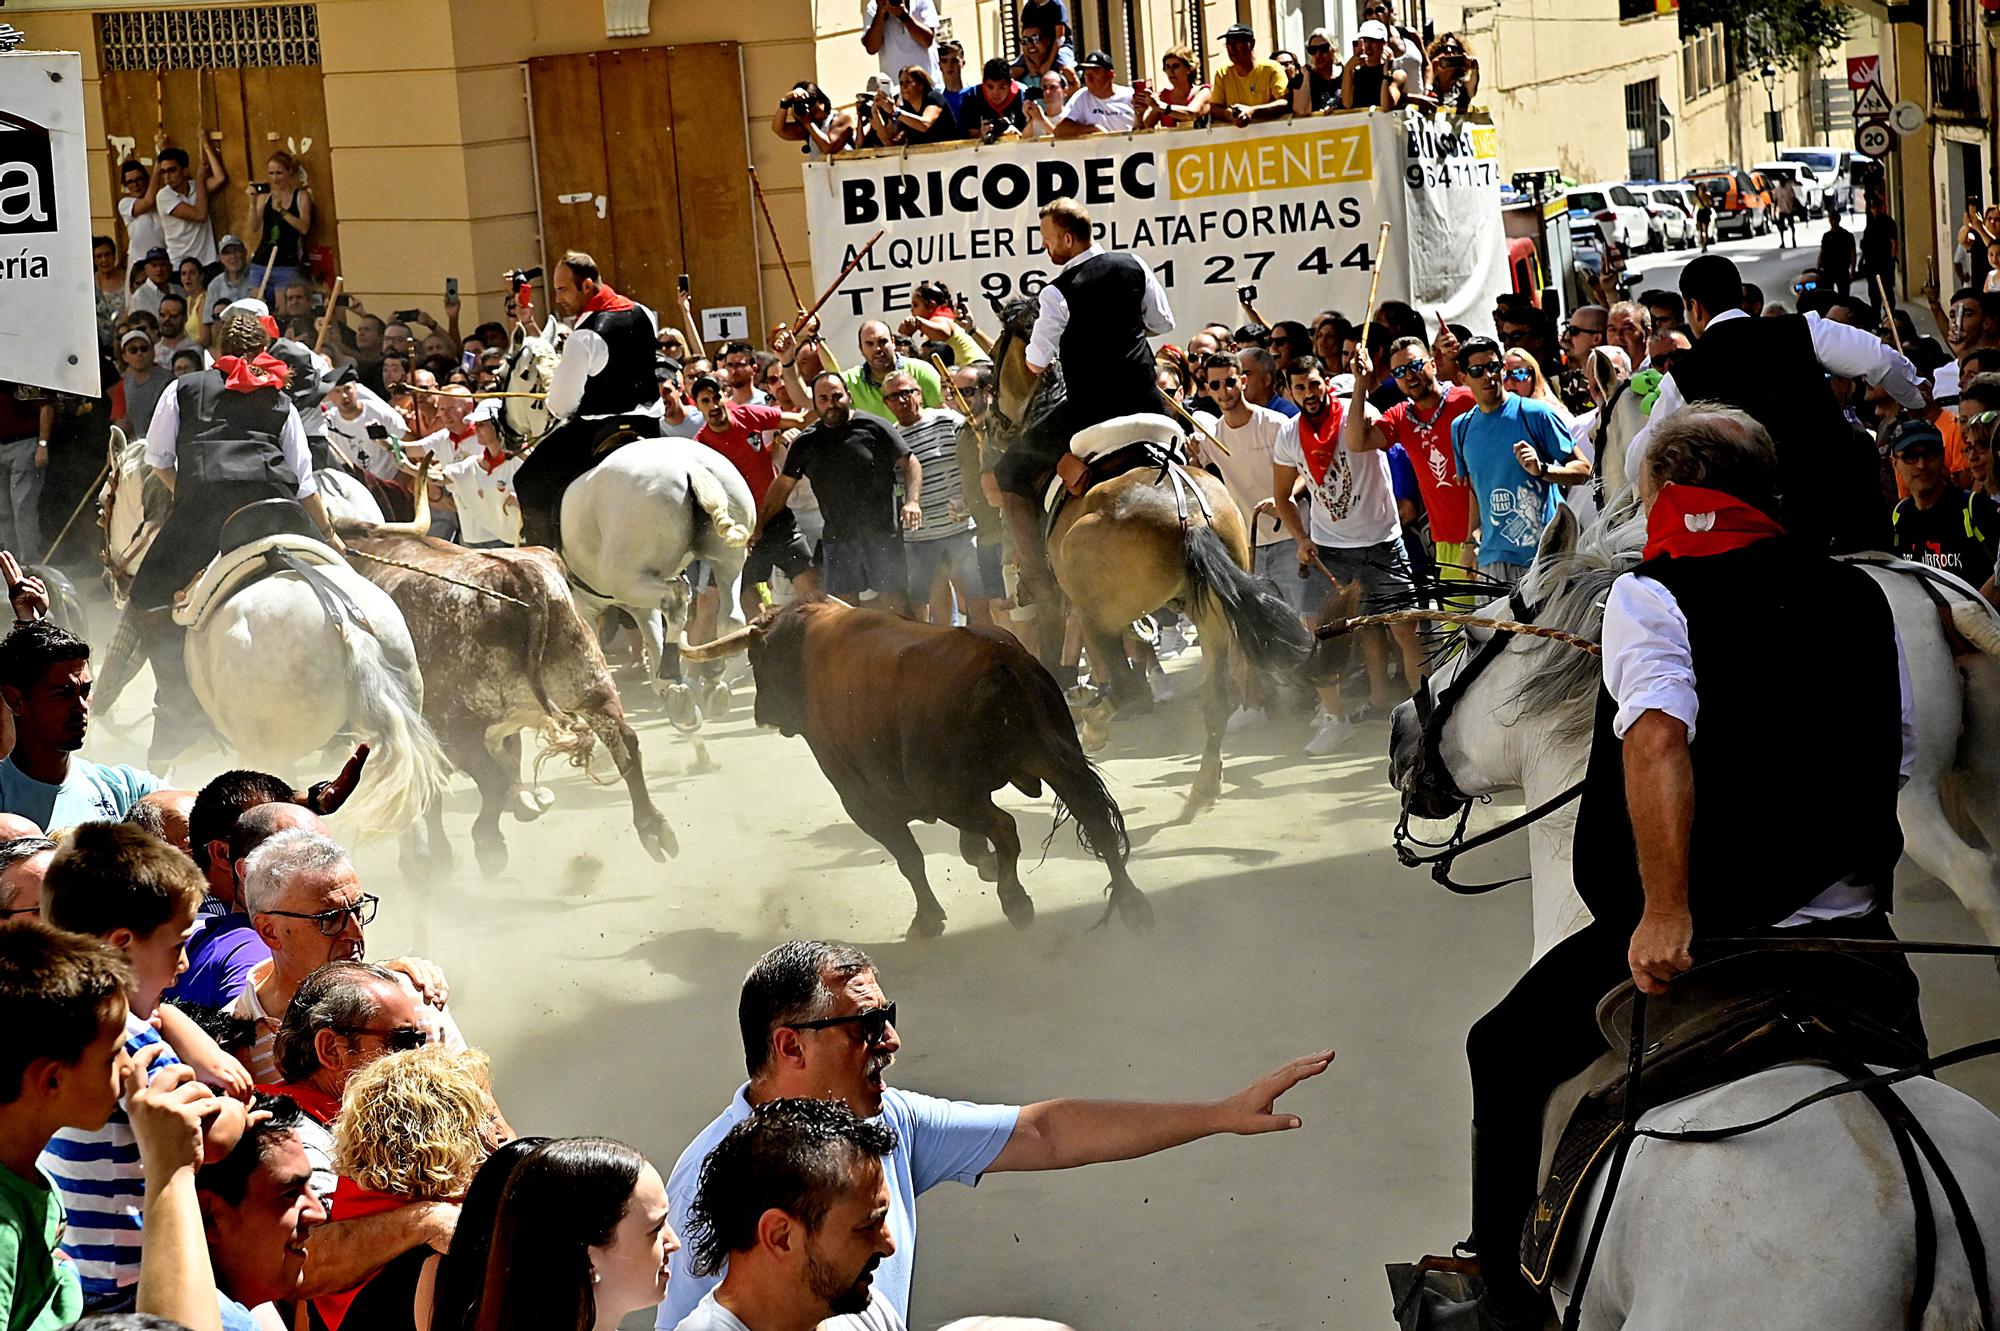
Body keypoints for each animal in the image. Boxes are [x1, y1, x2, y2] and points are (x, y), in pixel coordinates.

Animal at [330, 527, 672, 871]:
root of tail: (522, 578)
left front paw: (434, 857)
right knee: (625, 743)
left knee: (490, 783)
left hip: (456, 727)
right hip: (593, 687)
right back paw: (653, 826)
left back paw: (488, 843)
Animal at [684, 595, 1144, 939]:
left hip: (951, 795)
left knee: (1007, 828)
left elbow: (910, 859)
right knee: (1096, 821)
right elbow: (961, 846)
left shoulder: (864, 804)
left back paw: (1017, 902)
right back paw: (1133, 904)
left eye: (757, 660)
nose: (761, 712)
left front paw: (926, 919)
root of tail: (1003, 657)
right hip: (1052, 764)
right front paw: (979, 863)